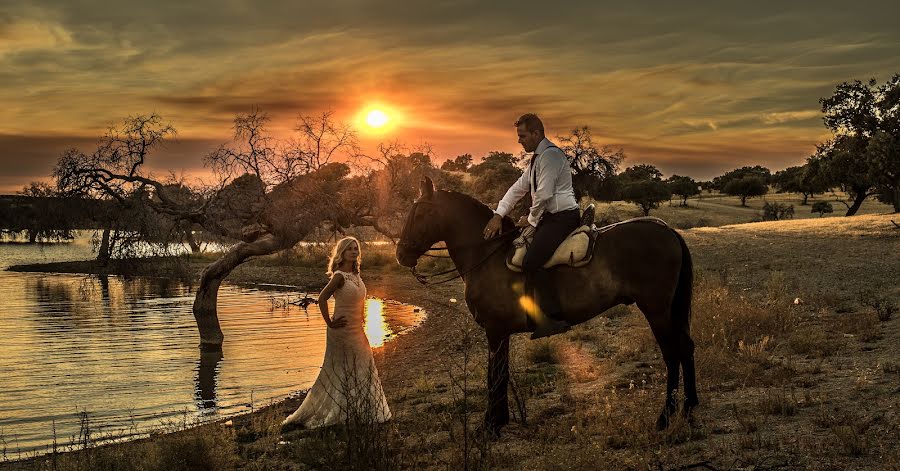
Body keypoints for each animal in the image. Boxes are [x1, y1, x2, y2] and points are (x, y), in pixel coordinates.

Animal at [394, 177, 696, 436]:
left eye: (419, 213)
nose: (401, 254)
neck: (488, 255)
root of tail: (668, 230)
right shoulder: (500, 333)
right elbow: (500, 374)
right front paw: (497, 421)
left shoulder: (495, 331)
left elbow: (496, 376)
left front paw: (490, 426)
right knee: (686, 348)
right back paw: (689, 409)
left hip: (656, 310)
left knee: (673, 354)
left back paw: (666, 417)